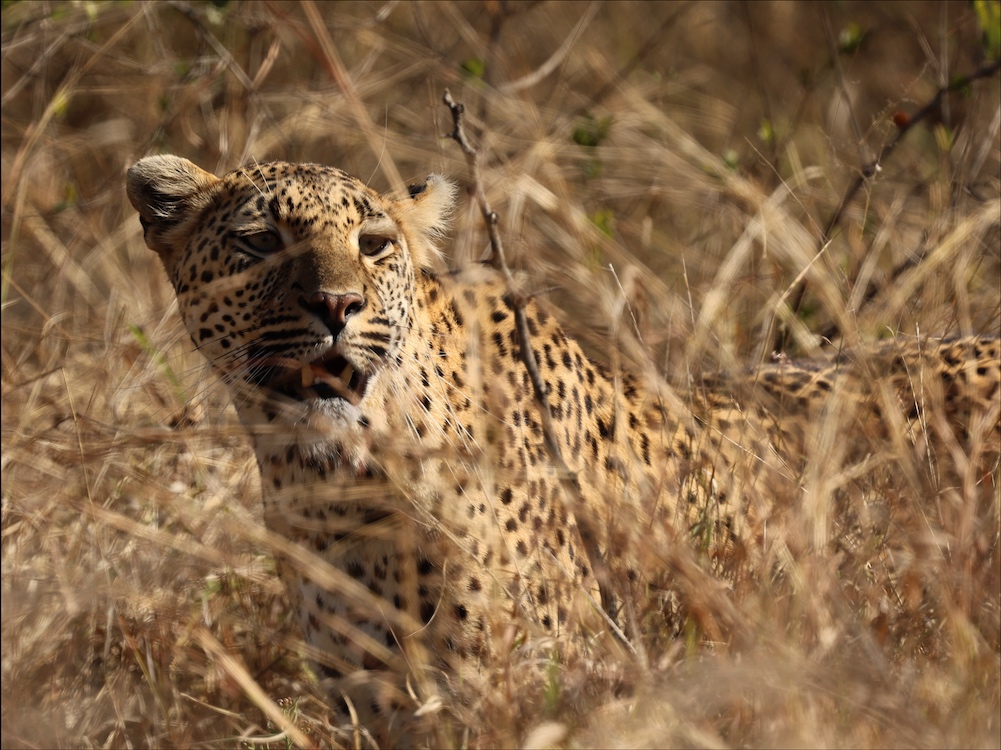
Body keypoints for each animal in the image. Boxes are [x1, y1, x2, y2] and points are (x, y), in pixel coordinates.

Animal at [126, 155, 1000, 744]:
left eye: (372, 243)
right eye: (257, 243)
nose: (338, 305)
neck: (335, 487)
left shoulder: (529, 685)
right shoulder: (377, 706)